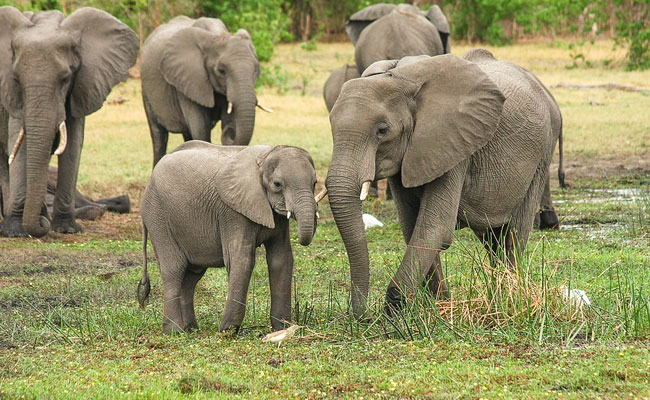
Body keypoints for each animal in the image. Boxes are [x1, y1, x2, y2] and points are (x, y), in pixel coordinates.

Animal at [0, 7, 138, 238]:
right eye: (17, 79)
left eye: (65, 78)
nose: (41, 226)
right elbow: (18, 145)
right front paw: (15, 231)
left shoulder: (81, 85)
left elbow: (73, 145)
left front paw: (66, 228)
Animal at [137, 141, 319, 333]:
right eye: (277, 184)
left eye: (314, 183)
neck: (265, 156)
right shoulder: (233, 212)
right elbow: (242, 260)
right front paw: (228, 331)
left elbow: (281, 259)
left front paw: (282, 328)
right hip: (158, 217)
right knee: (174, 269)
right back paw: (175, 331)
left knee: (192, 275)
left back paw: (191, 329)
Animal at [141, 16, 272, 167]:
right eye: (221, 71)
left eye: (256, 70)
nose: (231, 131)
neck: (215, 35)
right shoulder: (188, 80)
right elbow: (200, 128)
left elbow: (226, 119)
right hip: (146, 91)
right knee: (159, 137)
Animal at [322, 50, 564, 317]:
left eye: (382, 130)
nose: (362, 316)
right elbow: (412, 226)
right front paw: (437, 306)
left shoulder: (455, 144)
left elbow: (434, 228)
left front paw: (394, 311)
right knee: (493, 237)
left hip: (542, 154)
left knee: (514, 232)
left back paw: (508, 297)